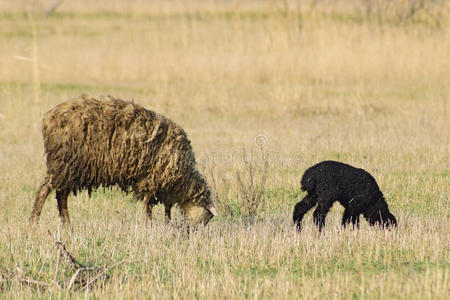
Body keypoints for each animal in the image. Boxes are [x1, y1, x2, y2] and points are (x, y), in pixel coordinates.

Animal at [29, 95, 217, 226]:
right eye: (206, 218)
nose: (190, 232)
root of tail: (48, 118)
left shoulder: (163, 188)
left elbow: (166, 209)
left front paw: (167, 223)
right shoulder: (151, 181)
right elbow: (149, 206)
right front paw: (150, 225)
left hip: (70, 169)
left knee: (61, 195)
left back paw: (67, 225)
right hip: (64, 163)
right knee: (45, 190)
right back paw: (34, 223)